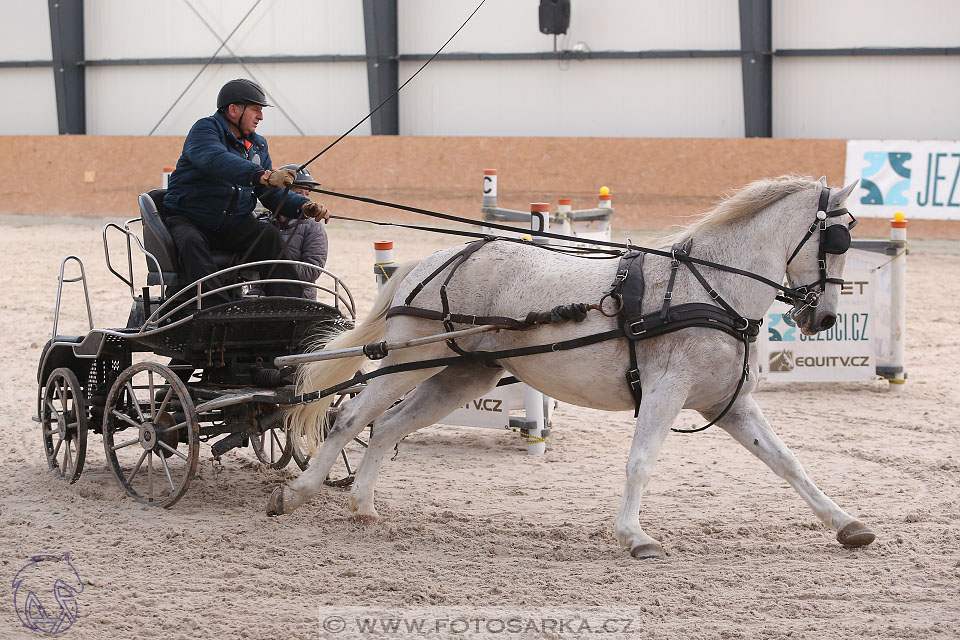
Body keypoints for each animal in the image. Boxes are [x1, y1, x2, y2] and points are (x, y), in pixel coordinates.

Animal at [268, 178, 872, 556]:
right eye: (838, 240)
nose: (823, 317)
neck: (711, 289)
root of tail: (429, 261)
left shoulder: (729, 403)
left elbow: (789, 464)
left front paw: (847, 525)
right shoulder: (666, 392)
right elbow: (640, 463)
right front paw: (635, 537)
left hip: (462, 374)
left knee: (389, 426)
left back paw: (364, 507)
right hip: (407, 362)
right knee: (350, 419)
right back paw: (296, 494)